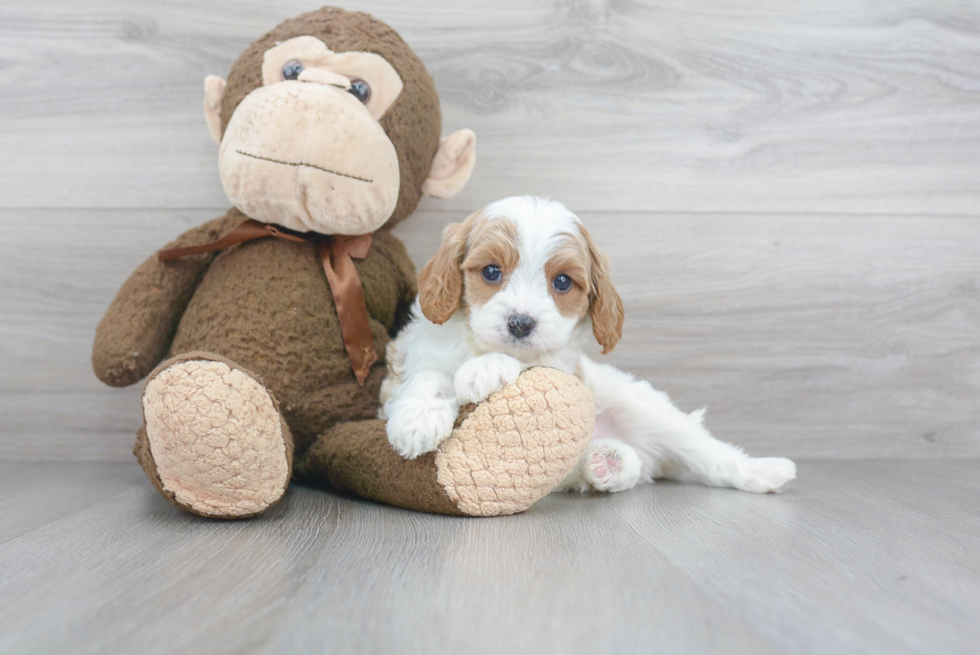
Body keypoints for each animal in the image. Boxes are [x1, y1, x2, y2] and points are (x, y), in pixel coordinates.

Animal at [380, 197, 796, 494]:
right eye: (491, 272)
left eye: (562, 282)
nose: (520, 323)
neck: (481, 344)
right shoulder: (408, 359)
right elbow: (428, 376)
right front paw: (418, 420)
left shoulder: (564, 368)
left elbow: (534, 363)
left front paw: (487, 368)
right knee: (633, 469)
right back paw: (608, 462)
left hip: (646, 410)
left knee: (707, 453)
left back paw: (765, 471)